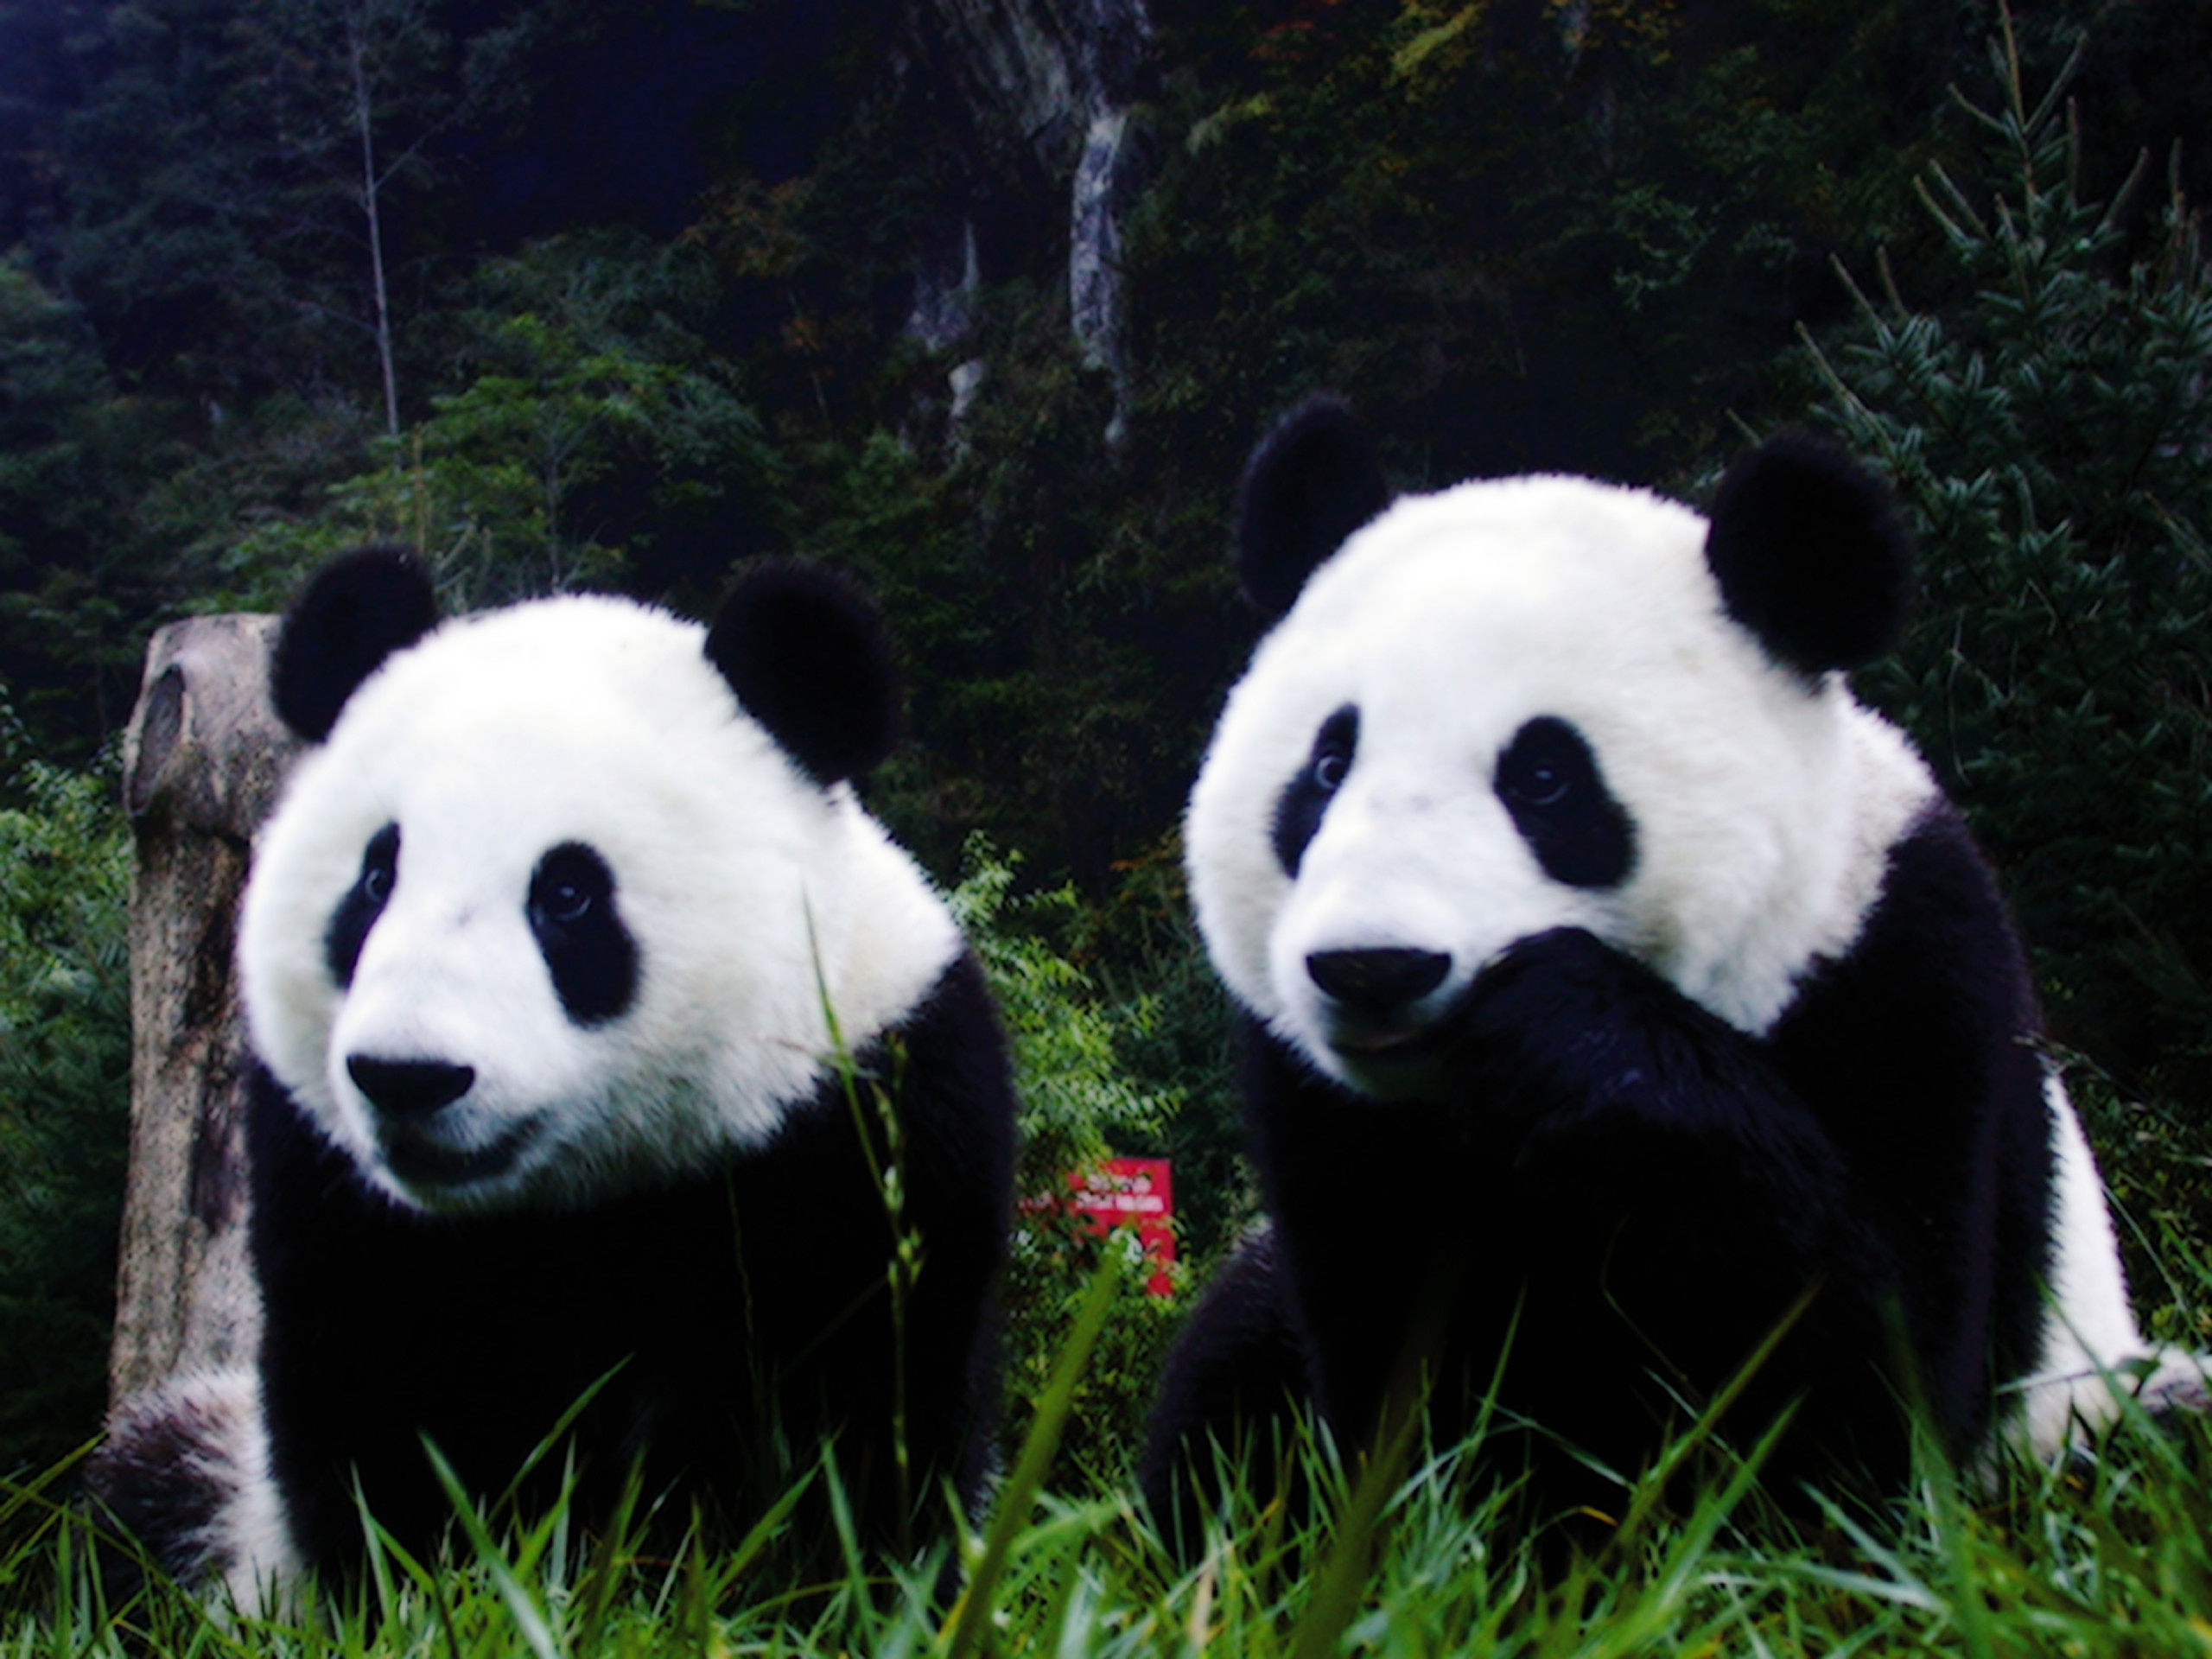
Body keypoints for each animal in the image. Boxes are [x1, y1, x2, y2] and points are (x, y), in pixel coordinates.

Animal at [89, 549, 1017, 1604]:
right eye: (377, 879)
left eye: (568, 894)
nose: (408, 1076)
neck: (570, 1206)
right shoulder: (338, 1200)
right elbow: (379, 1417)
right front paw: (448, 1593)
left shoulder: (864, 1124)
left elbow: (855, 1419)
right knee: (145, 1498)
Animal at [1139, 398, 2203, 1547]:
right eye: (1328, 767)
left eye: (1545, 778)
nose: (1373, 965)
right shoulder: (1327, 1114)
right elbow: (1401, 1367)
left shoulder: (1906, 972)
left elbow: (1863, 1385)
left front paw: (1575, 1033)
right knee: (1229, 1362)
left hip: (2078, 1415)